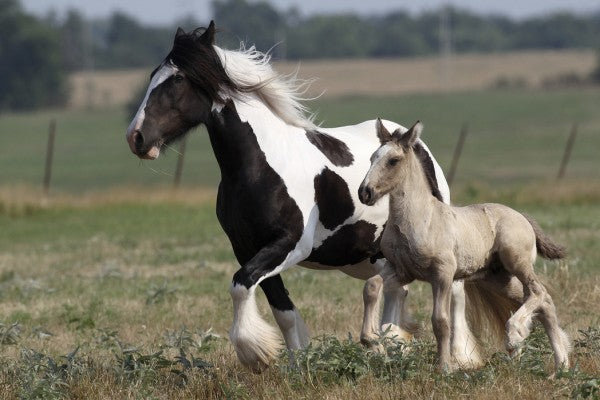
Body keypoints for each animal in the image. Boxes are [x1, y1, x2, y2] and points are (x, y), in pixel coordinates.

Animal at [126, 21, 482, 372]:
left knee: (455, 292)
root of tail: (410, 140)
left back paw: (458, 357)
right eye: (153, 74)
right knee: (398, 292)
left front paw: (255, 353)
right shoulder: (246, 248)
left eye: (177, 79)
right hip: (375, 255)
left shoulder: (291, 245)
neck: (260, 166)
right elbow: (281, 310)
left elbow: (240, 285)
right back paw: (390, 348)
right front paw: (297, 364)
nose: (136, 137)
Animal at [358, 119, 568, 372]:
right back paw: (561, 365)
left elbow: (440, 321)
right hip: (499, 278)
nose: (364, 192)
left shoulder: (442, 274)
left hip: (516, 262)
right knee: (545, 302)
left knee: (538, 293)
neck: (418, 221)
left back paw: (516, 336)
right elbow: (371, 286)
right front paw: (372, 342)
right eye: (372, 158)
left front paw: (445, 367)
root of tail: (523, 217)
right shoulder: (401, 270)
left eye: (393, 160)